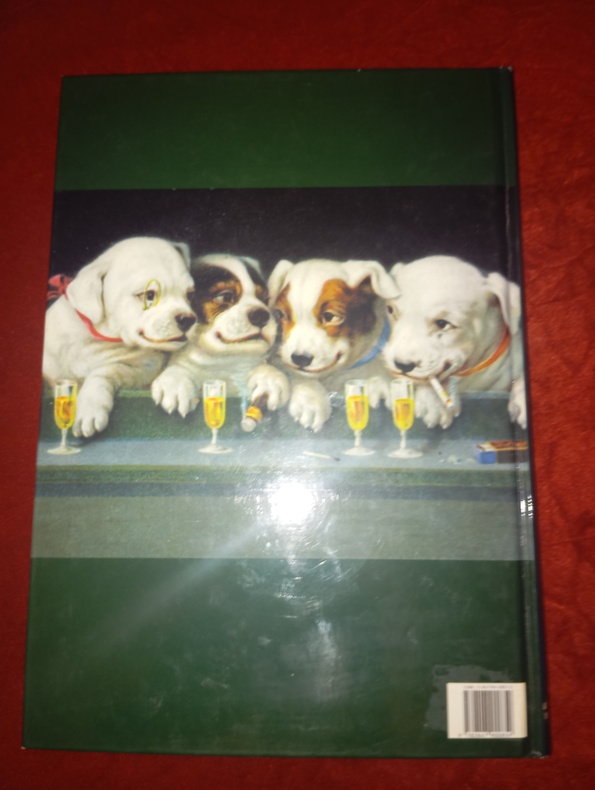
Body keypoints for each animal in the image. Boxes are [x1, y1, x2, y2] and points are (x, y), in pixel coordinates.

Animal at [43, 236, 196, 438]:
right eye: (149, 295)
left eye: (190, 295)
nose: (188, 319)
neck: (99, 340)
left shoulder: (143, 370)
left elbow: (107, 370)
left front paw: (89, 407)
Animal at [152, 254, 289, 418]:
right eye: (225, 297)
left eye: (264, 299)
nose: (261, 315)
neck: (222, 361)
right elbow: (179, 367)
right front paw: (175, 382)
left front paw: (270, 379)